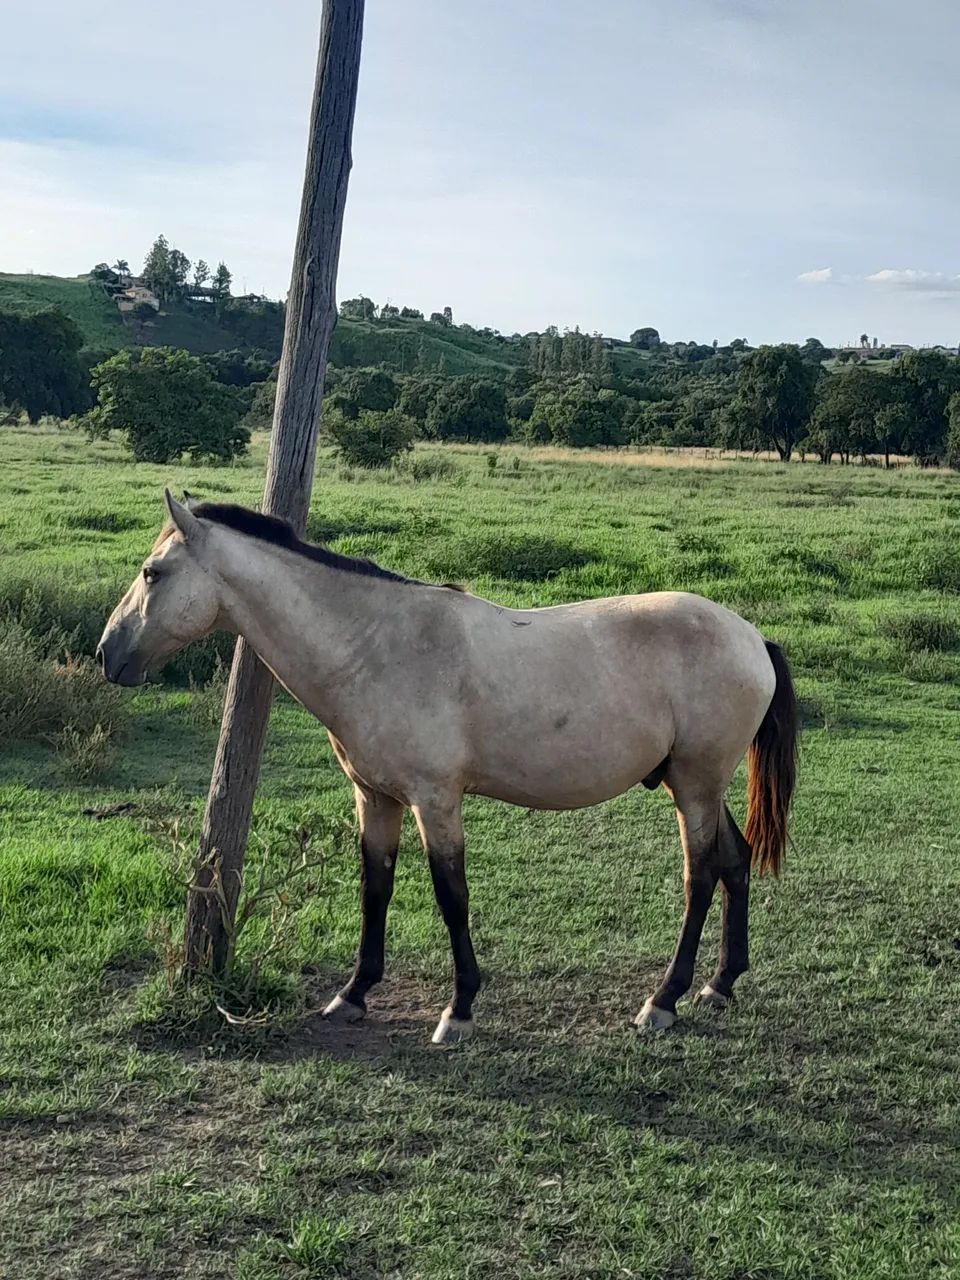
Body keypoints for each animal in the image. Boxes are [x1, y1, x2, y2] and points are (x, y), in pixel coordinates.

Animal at [97, 490, 798, 1045]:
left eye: (152, 572)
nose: (107, 654)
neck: (374, 647)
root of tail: (751, 636)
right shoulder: (375, 798)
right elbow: (375, 888)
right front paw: (353, 994)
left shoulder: (435, 800)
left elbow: (450, 895)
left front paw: (458, 1010)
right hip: (695, 782)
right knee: (734, 861)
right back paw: (719, 985)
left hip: (695, 785)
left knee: (700, 875)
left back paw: (664, 1000)